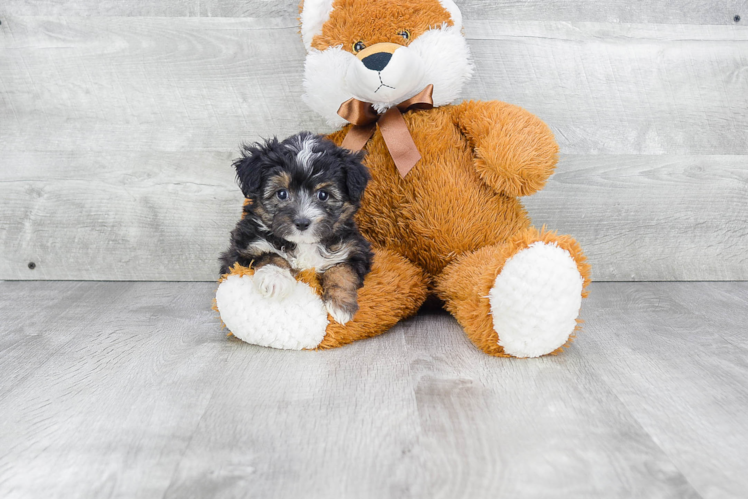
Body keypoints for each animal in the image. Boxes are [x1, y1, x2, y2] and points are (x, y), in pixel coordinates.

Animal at [221, 132, 374, 324]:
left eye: (323, 195)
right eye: (281, 193)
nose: (302, 222)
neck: (303, 244)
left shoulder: (355, 249)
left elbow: (342, 270)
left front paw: (341, 305)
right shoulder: (244, 248)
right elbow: (270, 254)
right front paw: (275, 278)